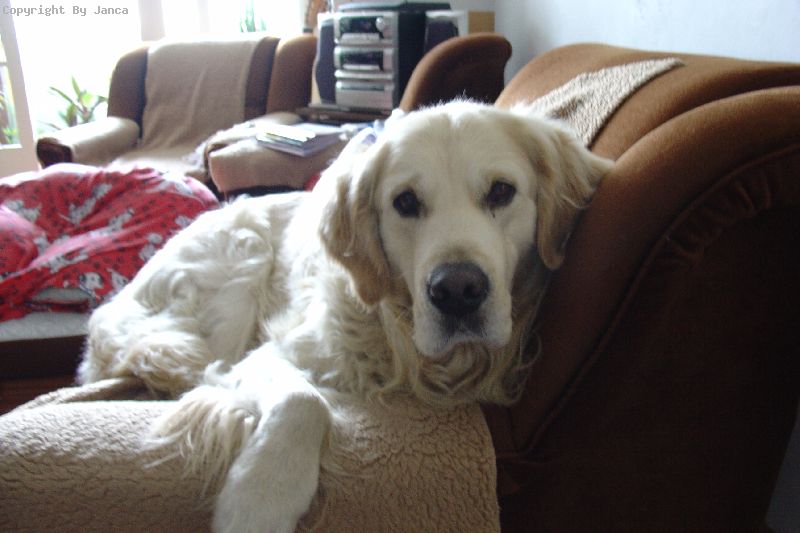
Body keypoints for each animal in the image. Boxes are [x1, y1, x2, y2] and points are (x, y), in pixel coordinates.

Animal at [78, 101, 613, 532]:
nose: (457, 292)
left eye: (501, 192)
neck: (398, 336)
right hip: (240, 260)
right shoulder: (266, 356)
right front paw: (261, 495)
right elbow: (303, 399)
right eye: (405, 202)